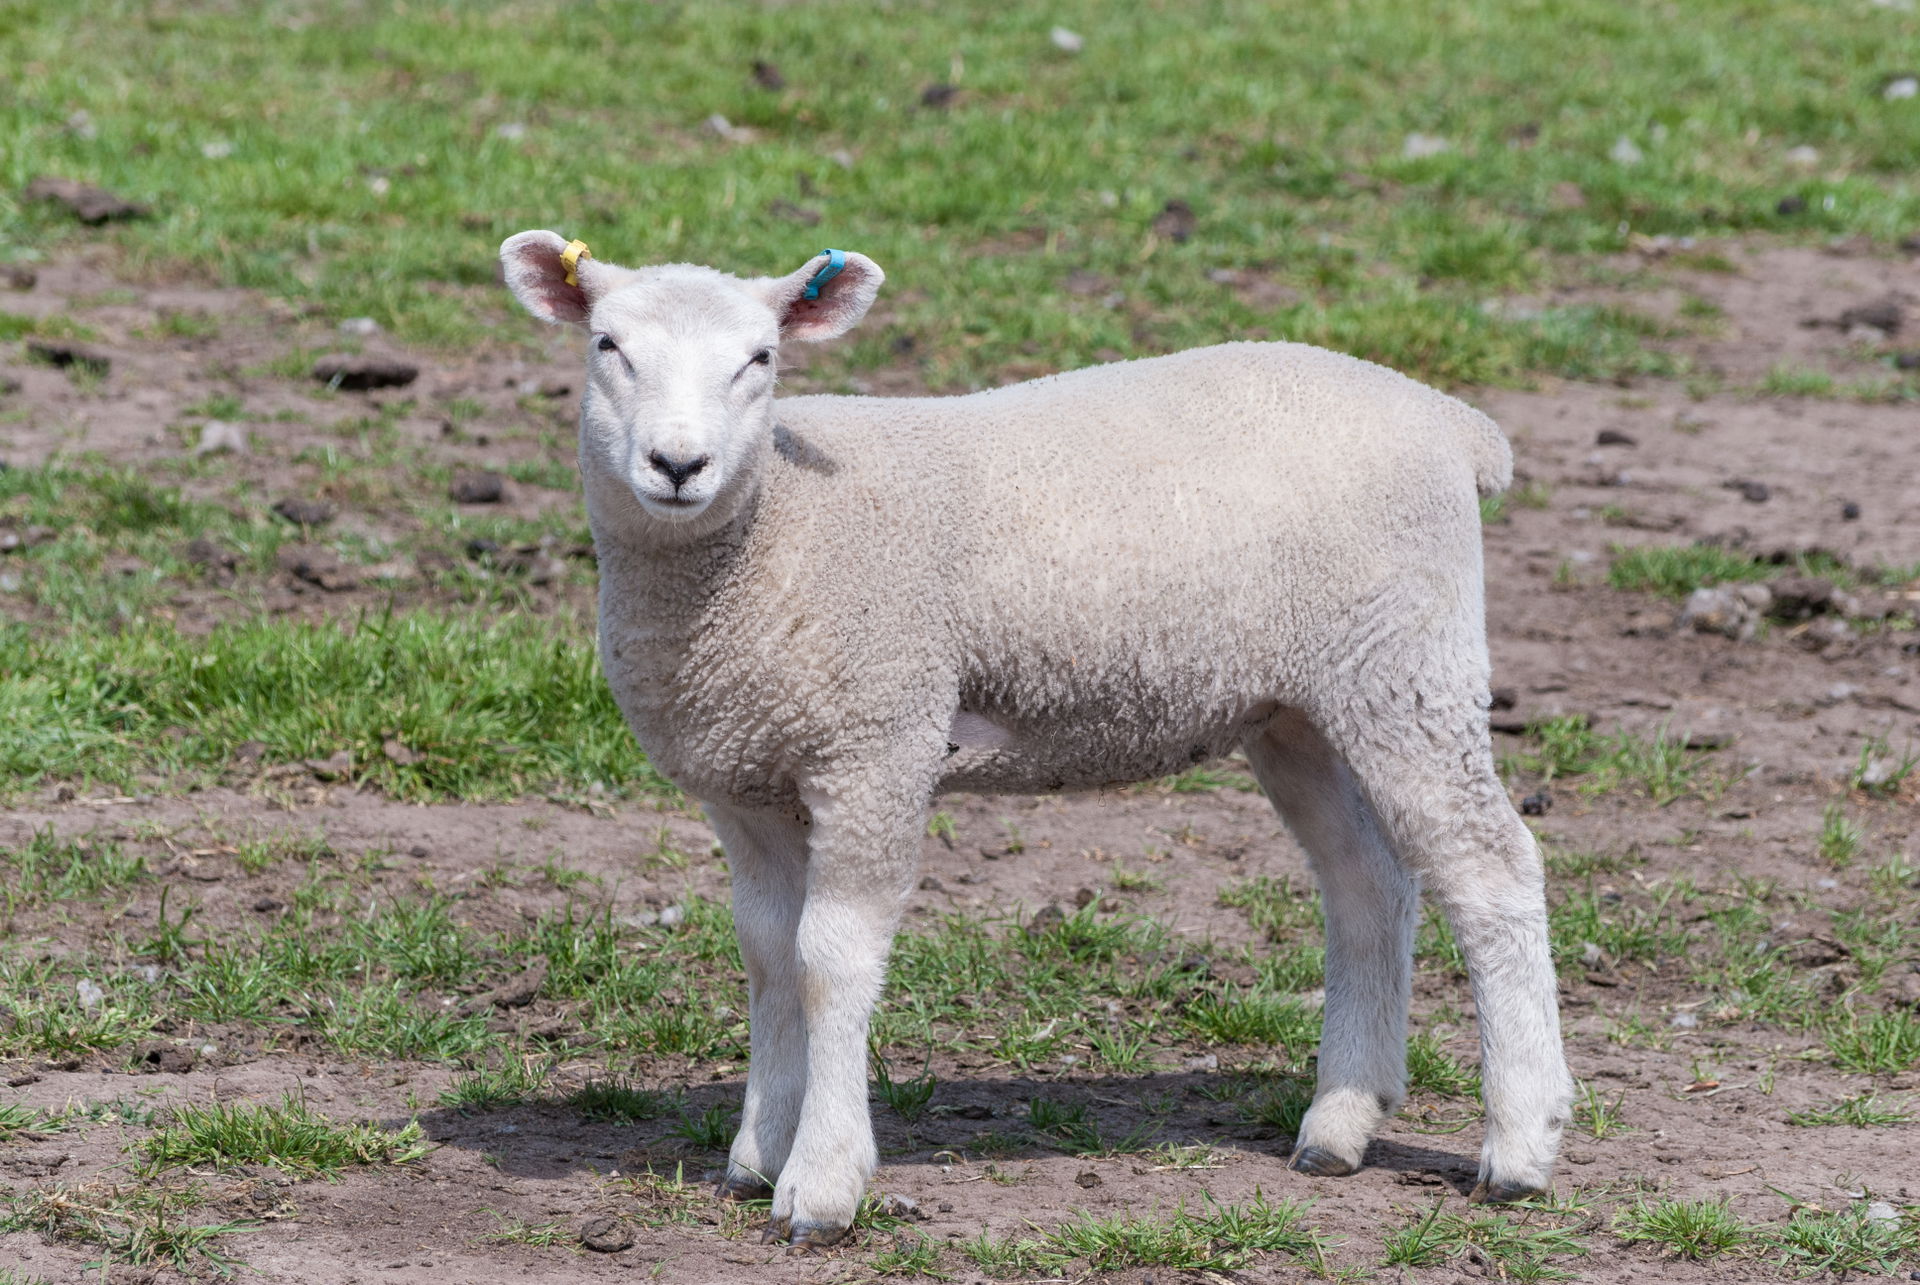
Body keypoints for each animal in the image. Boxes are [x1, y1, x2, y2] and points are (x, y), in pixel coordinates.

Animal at [499, 229, 1574, 1250]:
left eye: (761, 358)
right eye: (607, 347)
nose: (679, 466)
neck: (770, 532)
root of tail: (1453, 422)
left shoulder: (878, 743)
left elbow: (830, 955)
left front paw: (823, 1181)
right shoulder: (747, 776)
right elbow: (769, 953)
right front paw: (758, 1149)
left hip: (1409, 665)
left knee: (1491, 871)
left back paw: (1521, 1144)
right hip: (1300, 705)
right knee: (1366, 883)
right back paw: (1340, 1123)